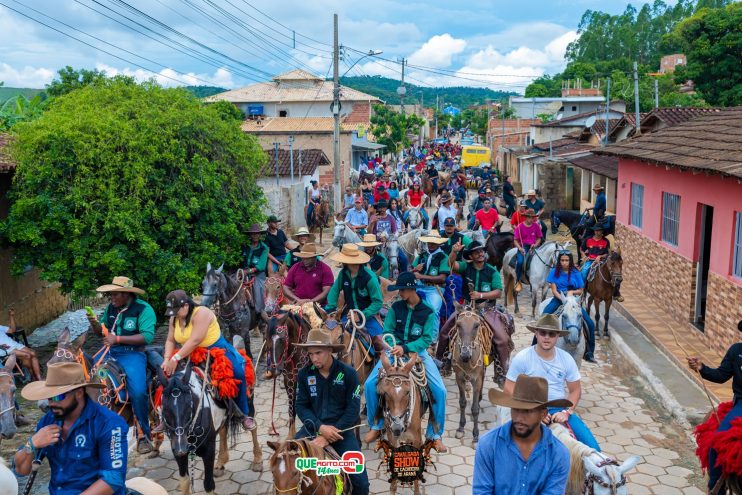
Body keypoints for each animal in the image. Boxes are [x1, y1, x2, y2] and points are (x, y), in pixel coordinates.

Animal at [157, 360, 262, 495]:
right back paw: (220, 462)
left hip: (249, 403)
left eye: (189, 406)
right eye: (165, 408)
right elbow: (185, 482)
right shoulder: (177, 451)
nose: (181, 448)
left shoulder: (209, 450)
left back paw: (257, 460)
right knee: (223, 430)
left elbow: (208, 484)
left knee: (253, 426)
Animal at [448, 308, 488, 444]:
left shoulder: (477, 380)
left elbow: (475, 409)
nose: (465, 354)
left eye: (476, 325)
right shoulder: (459, 378)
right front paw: (461, 428)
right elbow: (462, 402)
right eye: (458, 325)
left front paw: (476, 434)